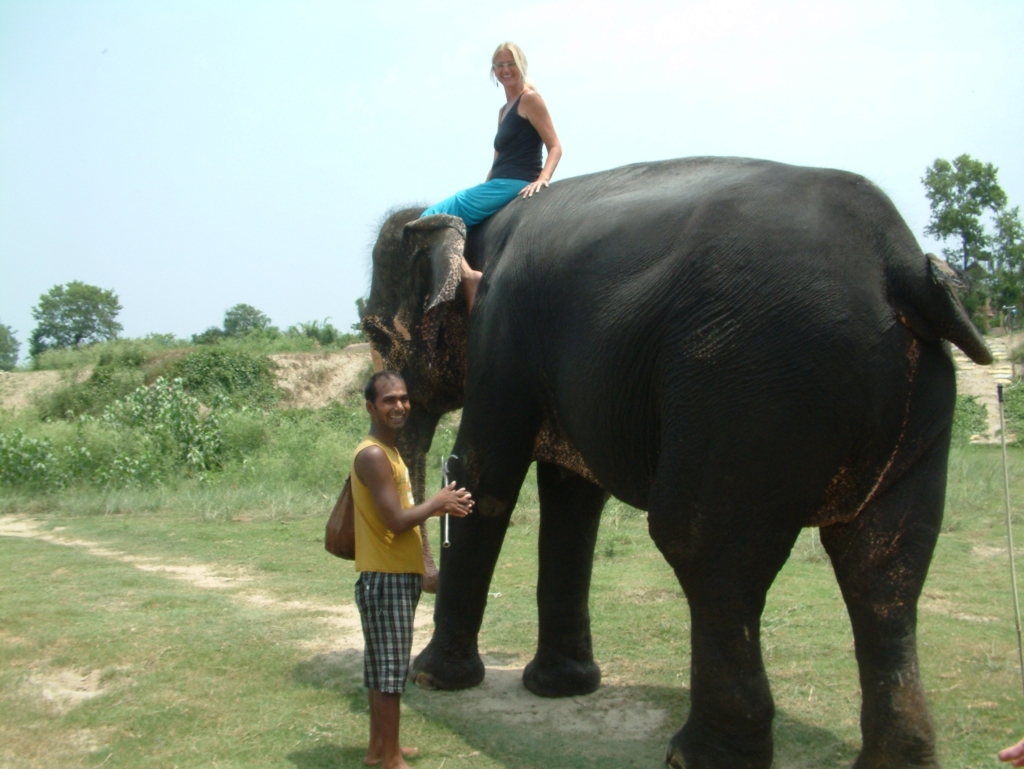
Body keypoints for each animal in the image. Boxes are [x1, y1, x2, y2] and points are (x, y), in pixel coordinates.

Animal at [360, 157, 991, 769]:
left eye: (374, 331)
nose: (425, 580)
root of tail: (898, 262)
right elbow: (572, 498)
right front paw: (560, 687)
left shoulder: (502, 331)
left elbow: (486, 478)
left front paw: (433, 678)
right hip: (913, 399)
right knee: (886, 564)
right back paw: (895, 757)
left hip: (746, 388)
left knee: (705, 547)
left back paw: (698, 756)